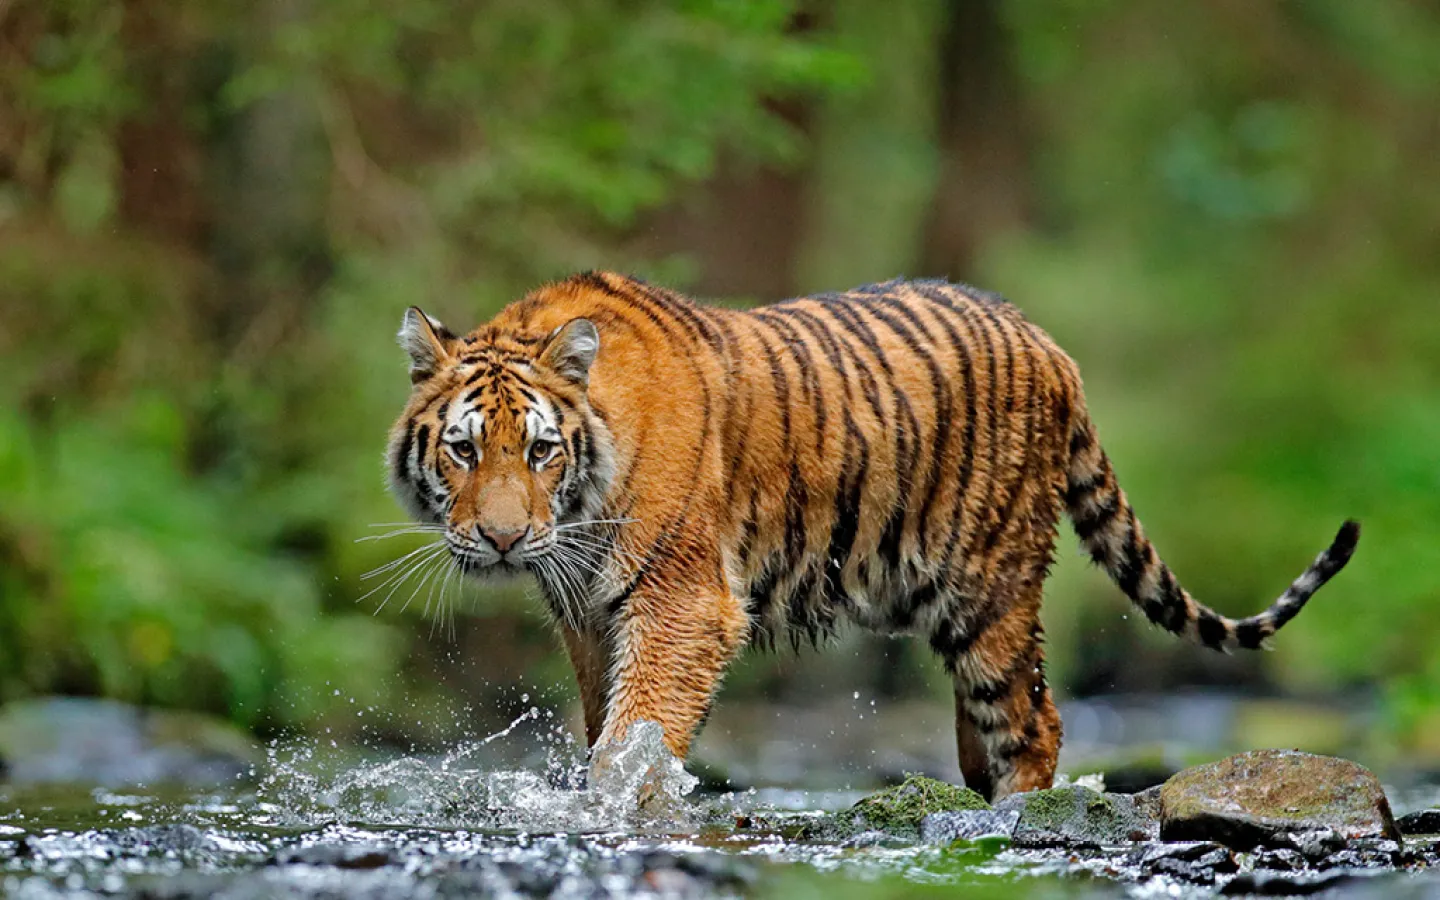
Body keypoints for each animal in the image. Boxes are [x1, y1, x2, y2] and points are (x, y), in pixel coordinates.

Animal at [386, 271, 1359, 800]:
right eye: (464, 449)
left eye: (540, 450)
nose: (503, 540)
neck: (579, 512)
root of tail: (1049, 343)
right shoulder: (589, 615)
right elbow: (606, 728)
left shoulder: (681, 603)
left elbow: (637, 734)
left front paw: (620, 806)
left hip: (992, 588)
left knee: (1034, 720)